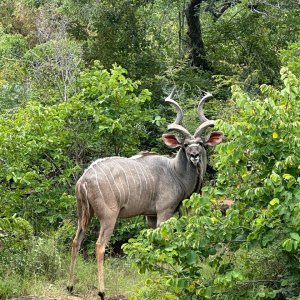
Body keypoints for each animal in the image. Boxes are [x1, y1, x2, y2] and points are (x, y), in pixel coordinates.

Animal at [67, 88, 223, 298]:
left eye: (201, 143)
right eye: (184, 145)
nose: (194, 155)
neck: (174, 171)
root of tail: (83, 179)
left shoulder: (150, 216)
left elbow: (151, 243)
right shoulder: (164, 211)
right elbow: (163, 241)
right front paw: (163, 278)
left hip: (83, 215)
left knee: (76, 241)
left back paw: (70, 286)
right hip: (108, 216)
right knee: (99, 246)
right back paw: (101, 291)